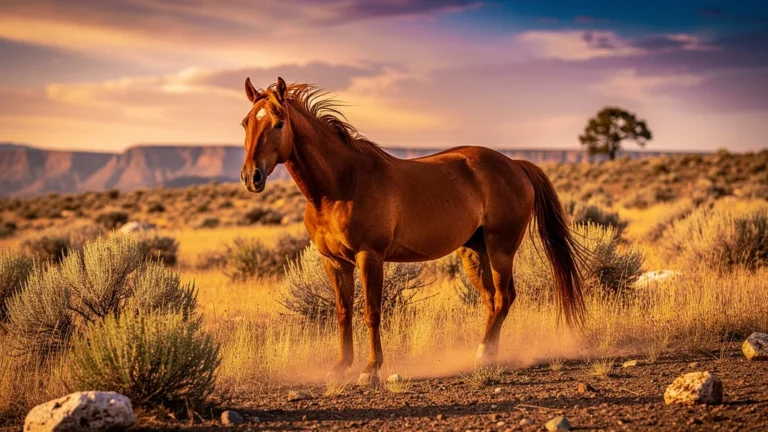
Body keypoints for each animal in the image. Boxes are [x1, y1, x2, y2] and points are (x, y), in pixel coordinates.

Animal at [239, 76, 586, 381]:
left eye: (279, 123)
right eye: (245, 123)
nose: (251, 177)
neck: (339, 185)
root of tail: (515, 165)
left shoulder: (369, 256)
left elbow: (371, 311)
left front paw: (371, 370)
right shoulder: (334, 262)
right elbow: (342, 312)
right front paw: (340, 367)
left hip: (501, 248)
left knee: (504, 297)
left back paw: (485, 355)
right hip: (474, 252)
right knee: (492, 300)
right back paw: (485, 354)